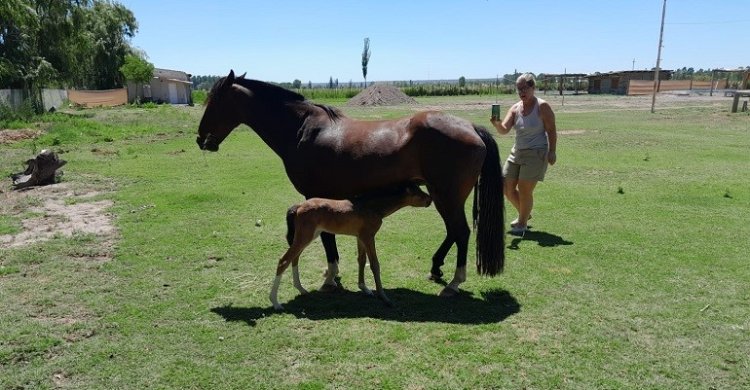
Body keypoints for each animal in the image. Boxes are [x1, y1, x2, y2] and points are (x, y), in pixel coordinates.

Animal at [197, 70, 508, 296]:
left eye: (214, 101)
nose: (201, 139)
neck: (304, 130)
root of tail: (471, 127)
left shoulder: (315, 196)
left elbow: (327, 238)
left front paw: (331, 276)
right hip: (442, 196)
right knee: (453, 232)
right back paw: (436, 269)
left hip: (446, 196)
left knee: (461, 232)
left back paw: (454, 282)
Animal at [272, 183, 434, 310]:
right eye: (417, 193)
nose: (430, 199)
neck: (373, 207)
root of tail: (299, 206)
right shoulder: (368, 237)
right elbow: (375, 264)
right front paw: (384, 298)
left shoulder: (360, 238)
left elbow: (361, 260)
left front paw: (365, 289)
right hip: (305, 236)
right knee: (284, 261)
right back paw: (275, 303)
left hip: (308, 236)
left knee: (294, 258)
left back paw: (301, 289)